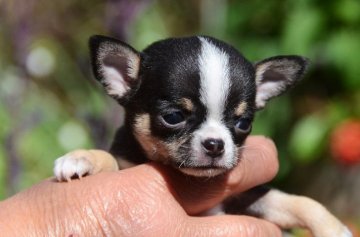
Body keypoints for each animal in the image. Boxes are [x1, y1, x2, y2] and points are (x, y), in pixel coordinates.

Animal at [53, 35, 352, 237]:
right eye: (173, 117)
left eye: (243, 123)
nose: (215, 144)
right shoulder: (126, 163)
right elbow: (109, 158)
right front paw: (83, 158)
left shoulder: (247, 196)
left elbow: (296, 201)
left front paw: (335, 229)